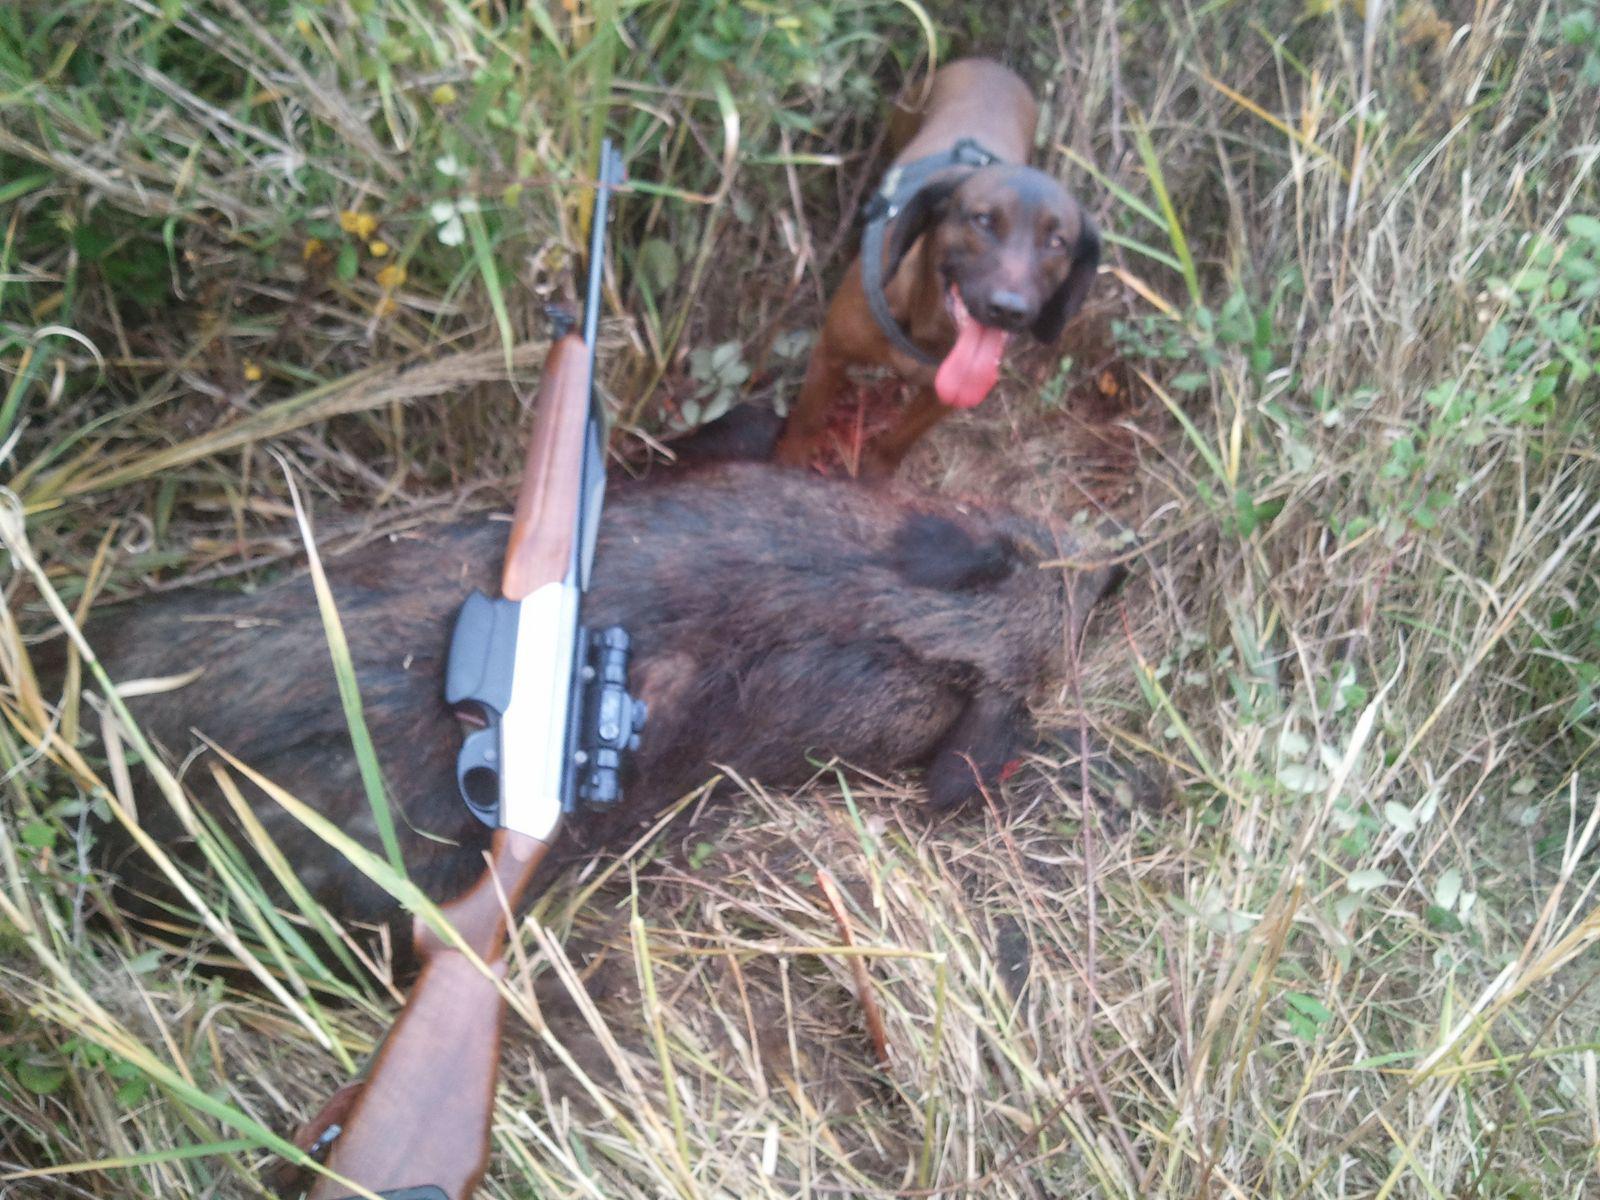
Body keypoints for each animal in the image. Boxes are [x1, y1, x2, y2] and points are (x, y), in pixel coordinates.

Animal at [771, 58, 1101, 476]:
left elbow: (895, 445)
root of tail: (990, 63)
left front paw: (874, 479)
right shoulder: (830, 356)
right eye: (983, 220)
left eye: (1057, 242)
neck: (928, 328)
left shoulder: (942, 399)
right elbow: (807, 420)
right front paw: (788, 462)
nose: (1009, 310)